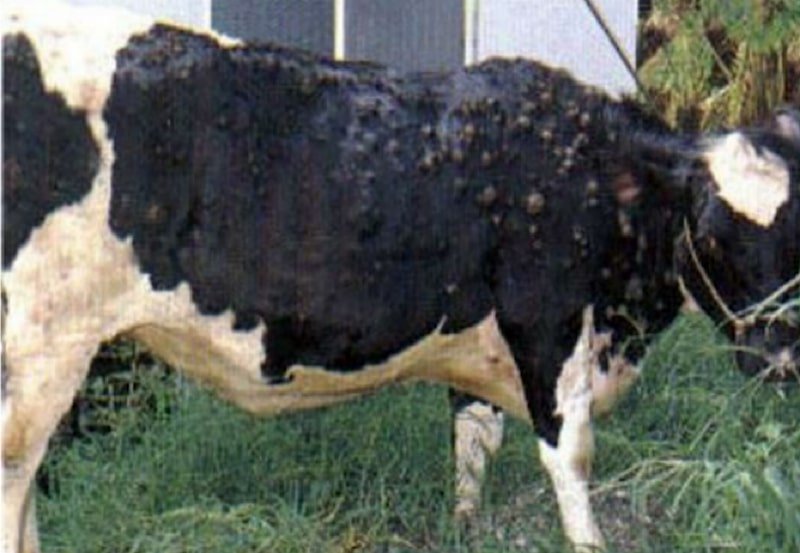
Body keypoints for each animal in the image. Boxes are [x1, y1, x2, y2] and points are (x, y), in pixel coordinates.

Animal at [2, 2, 798, 552]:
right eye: (713, 232)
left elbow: (474, 443)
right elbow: (571, 458)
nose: (781, 357)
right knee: (17, 475)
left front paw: (466, 527)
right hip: (41, 349)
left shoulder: (483, 345)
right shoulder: (547, 326)